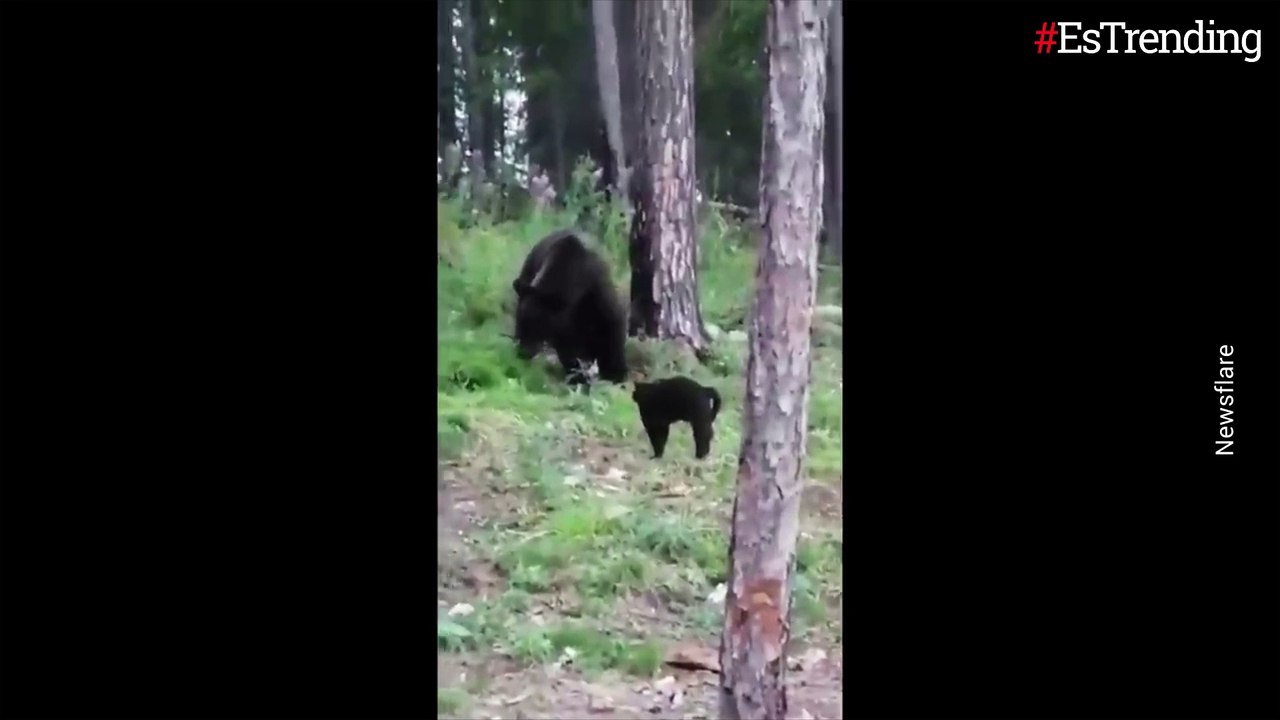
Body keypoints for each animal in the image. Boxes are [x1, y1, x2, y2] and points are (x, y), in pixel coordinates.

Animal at [511, 229, 628, 385]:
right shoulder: (564, 325)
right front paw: (578, 376)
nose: (522, 352)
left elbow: (613, 325)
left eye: (536, 325)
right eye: (521, 320)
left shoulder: (598, 292)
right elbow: (570, 350)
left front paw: (615, 373)